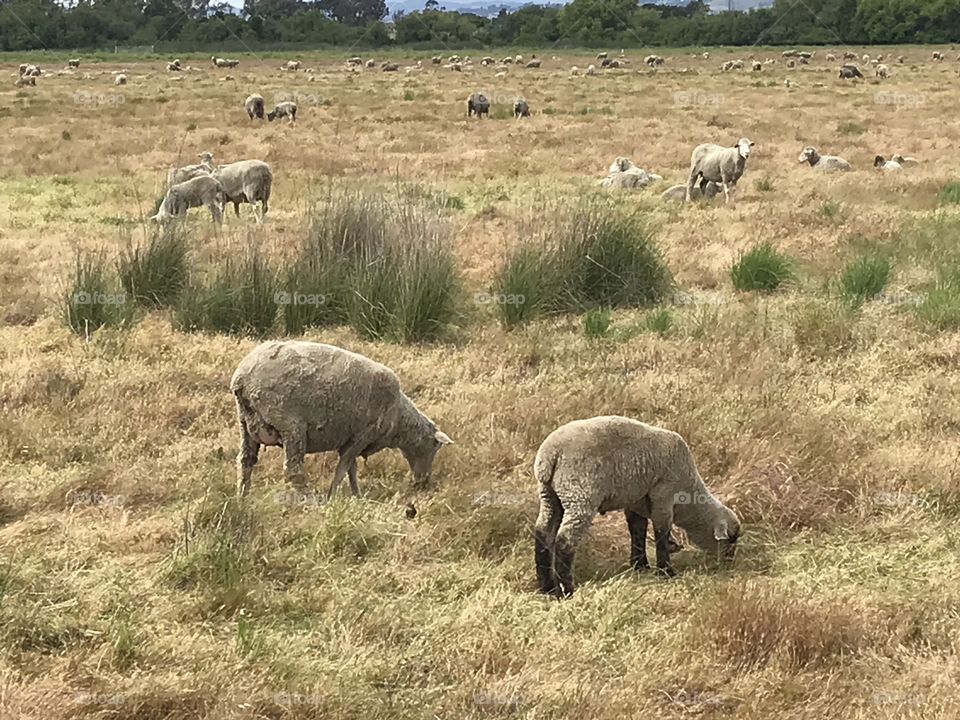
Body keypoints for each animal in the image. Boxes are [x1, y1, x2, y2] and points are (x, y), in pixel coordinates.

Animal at [231, 340, 453, 498]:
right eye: (434, 448)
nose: (423, 483)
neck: (399, 419)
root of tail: (242, 379)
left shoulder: (349, 438)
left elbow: (351, 469)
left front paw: (357, 495)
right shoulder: (363, 435)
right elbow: (343, 467)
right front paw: (333, 496)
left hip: (245, 423)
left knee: (245, 461)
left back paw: (242, 498)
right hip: (291, 425)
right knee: (293, 470)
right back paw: (308, 501)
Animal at [533, 416, 740, 595]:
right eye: (730, 540)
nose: (729, 563)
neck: (688, 496)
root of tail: (550, 455)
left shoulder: (636, 500)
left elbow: (637, 531)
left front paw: (640, 566)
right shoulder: (664, 494)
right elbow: (661, 532)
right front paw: (666, 571)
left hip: (550, 496)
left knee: (543, 533)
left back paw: (547, 587)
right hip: (580, 495)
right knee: (565, 541)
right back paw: (567, 591)